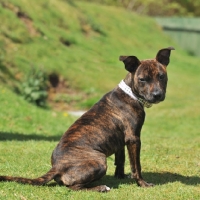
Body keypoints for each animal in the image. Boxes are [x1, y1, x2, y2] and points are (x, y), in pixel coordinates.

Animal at [0, 47, 174, 192]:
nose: (157, 95)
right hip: (99, 160)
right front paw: (142, 183)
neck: (130, 93)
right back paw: (100, 188)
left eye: (161, 76)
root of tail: (57, 167)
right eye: (143, 79)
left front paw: (121, 177)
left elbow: (121, 160)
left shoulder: (121, 140)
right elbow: (136, 166)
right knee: (73, 187)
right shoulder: (133, 139)